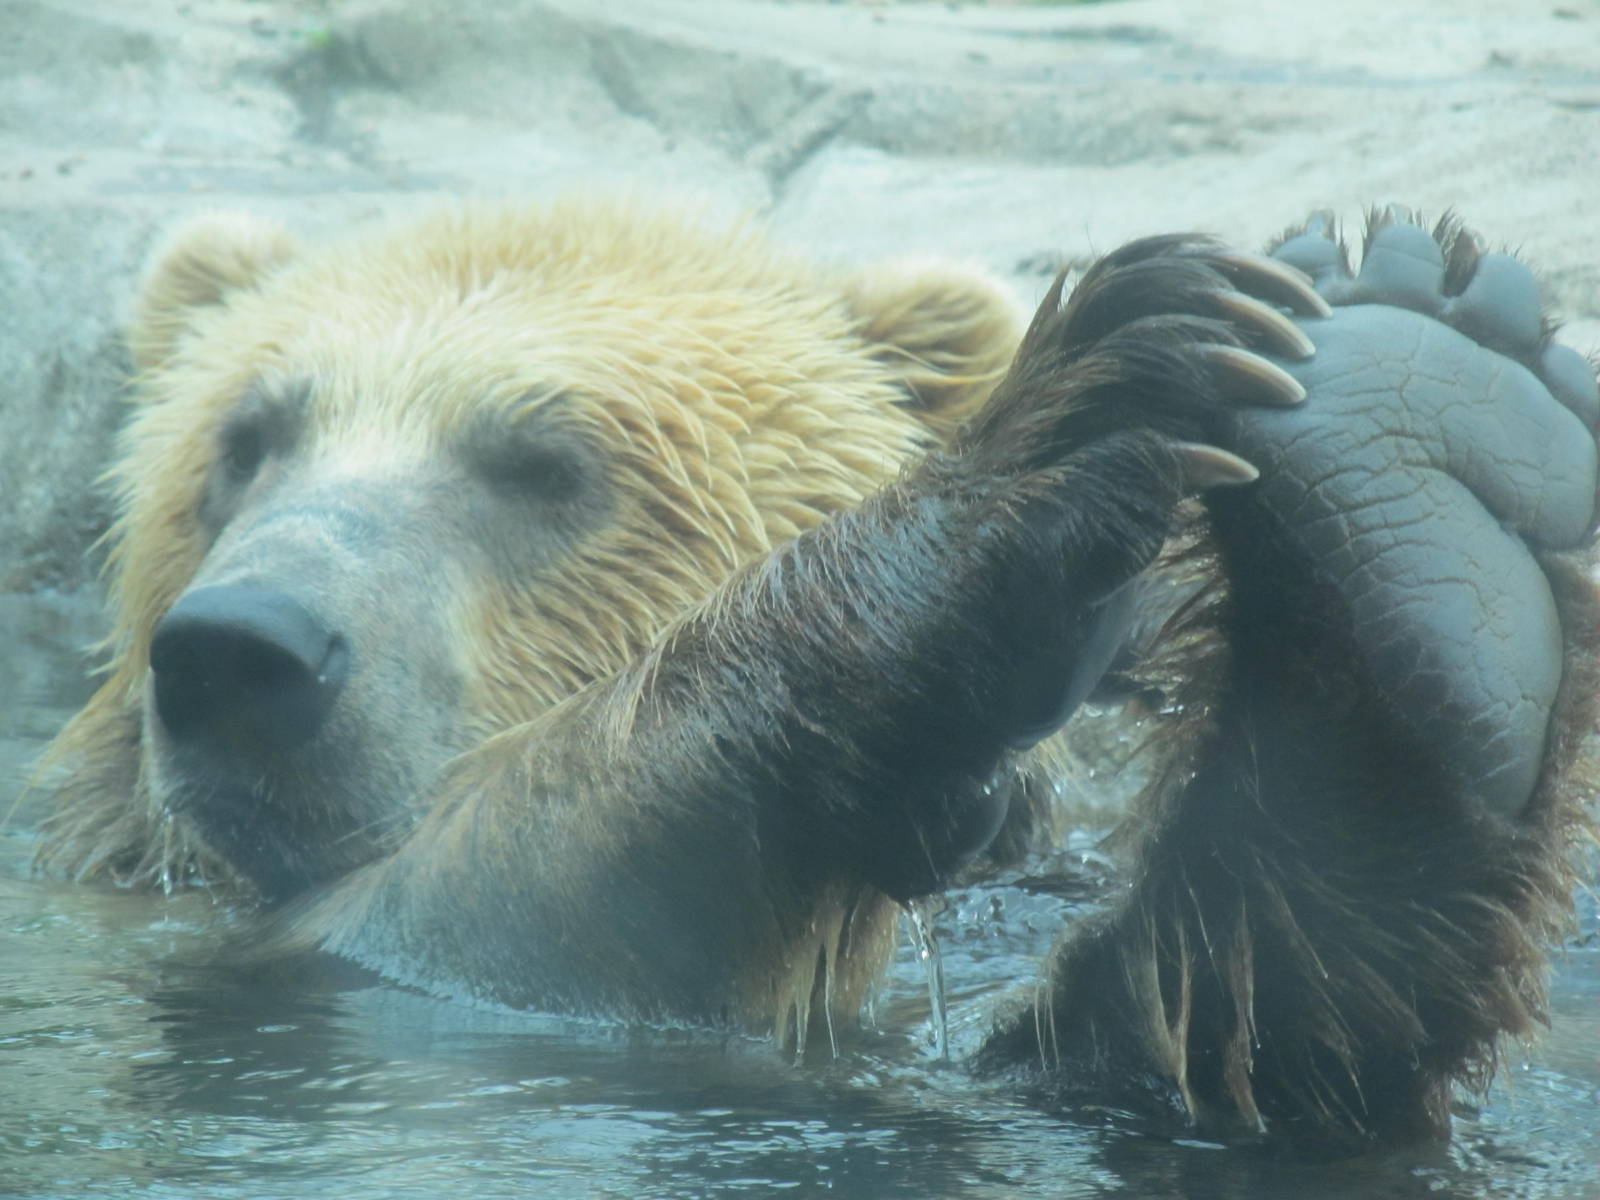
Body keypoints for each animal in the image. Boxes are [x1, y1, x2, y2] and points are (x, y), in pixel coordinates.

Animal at [34, 198, 1600, 1155]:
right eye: (243, 438)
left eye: (544, 461)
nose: (244, 650)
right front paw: (1086, 411)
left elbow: (1215, 1038)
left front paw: (1411, 398)